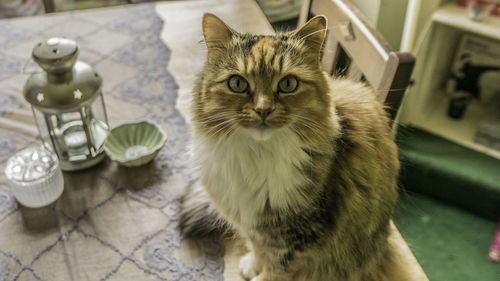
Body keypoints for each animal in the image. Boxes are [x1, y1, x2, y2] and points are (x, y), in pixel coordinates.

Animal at [182, 13, 400, 280]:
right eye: (237, 83)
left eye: (288, 84)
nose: (263, 110)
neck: (257, 155)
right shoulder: (251, 225)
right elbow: (257, 249)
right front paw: (251, 265)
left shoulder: (294, 239)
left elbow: (274, 271)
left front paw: (257, 275)